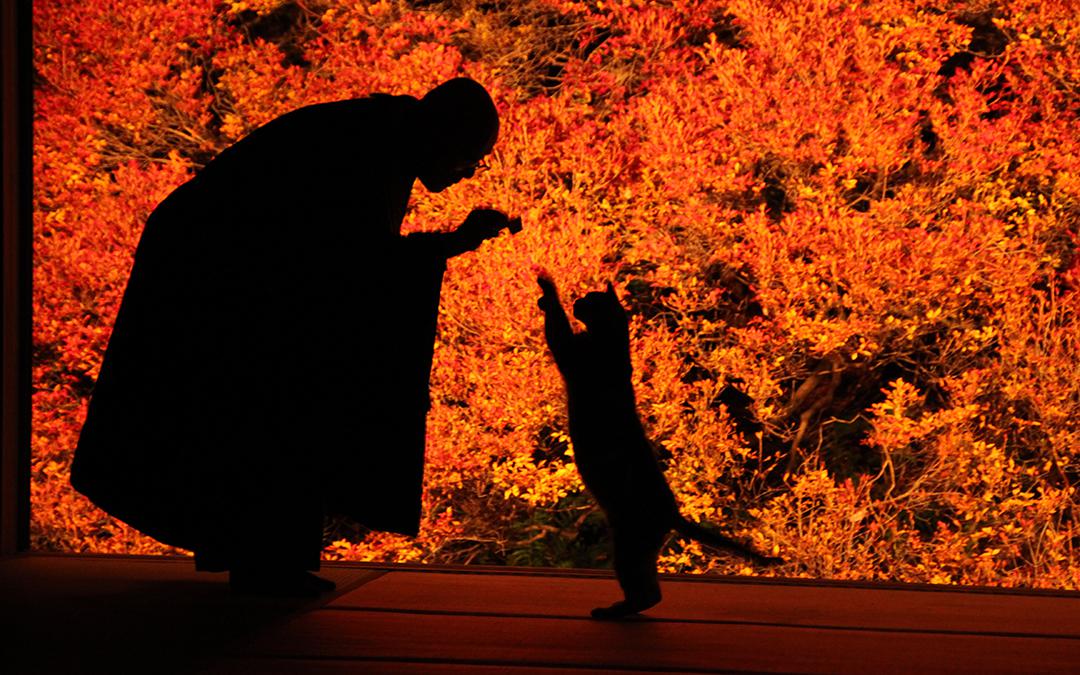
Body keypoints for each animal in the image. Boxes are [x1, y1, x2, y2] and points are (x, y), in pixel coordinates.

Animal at [537, 271, 777, 617]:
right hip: (638, 547)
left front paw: (548, 288)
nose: (578, 300)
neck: (609, 344)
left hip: (629, 544)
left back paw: (614, 612)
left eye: (591, 298)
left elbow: (557, 327)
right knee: (652, 590)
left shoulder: (570, 354)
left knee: (647, 592)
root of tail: (672, 513)